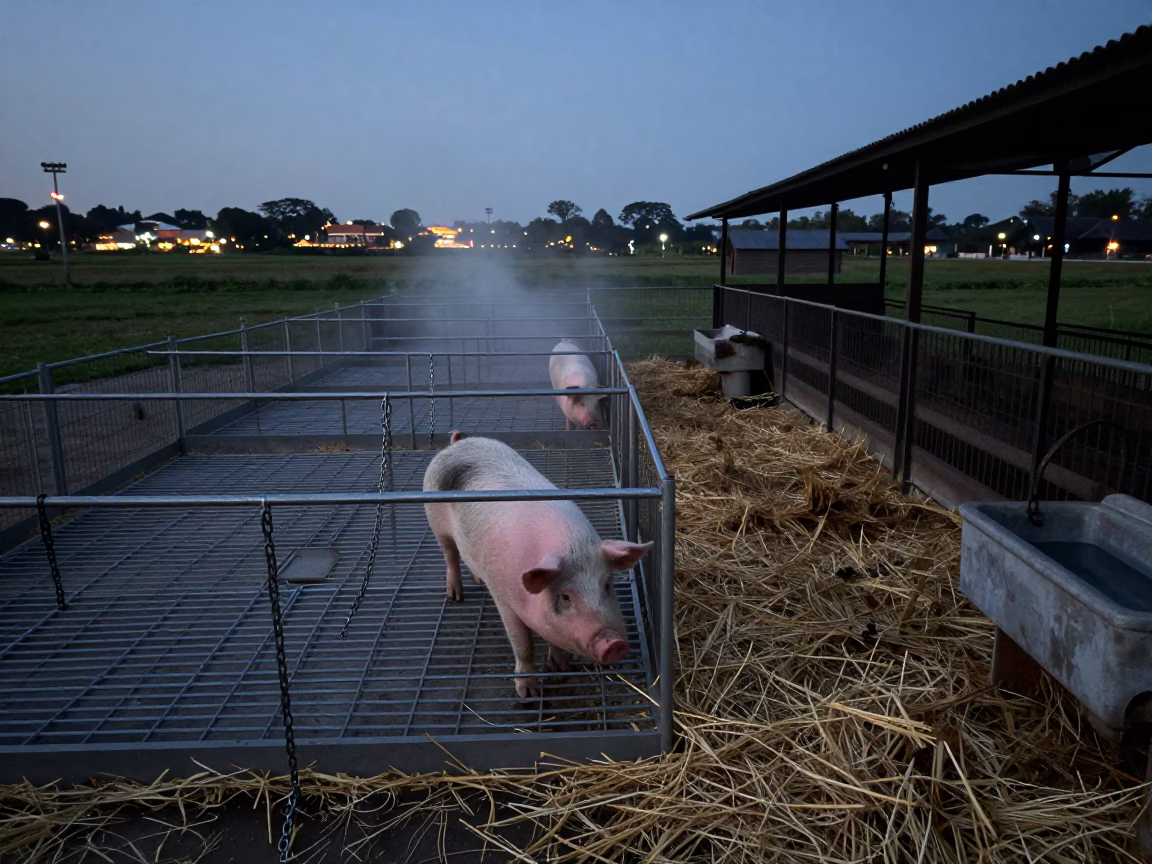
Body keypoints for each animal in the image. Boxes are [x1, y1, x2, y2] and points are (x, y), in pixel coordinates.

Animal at [424, 431, 652, 698]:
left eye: (607, 586)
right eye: (566, 596)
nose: (614, 643)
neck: (571, 546)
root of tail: (458, 443)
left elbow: (552, 636)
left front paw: (562, 668)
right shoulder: (504, 599)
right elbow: (523, 644)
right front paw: (528, 694)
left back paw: (478, 579)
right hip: (435, 522)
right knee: (450, 555)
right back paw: (455, 596)